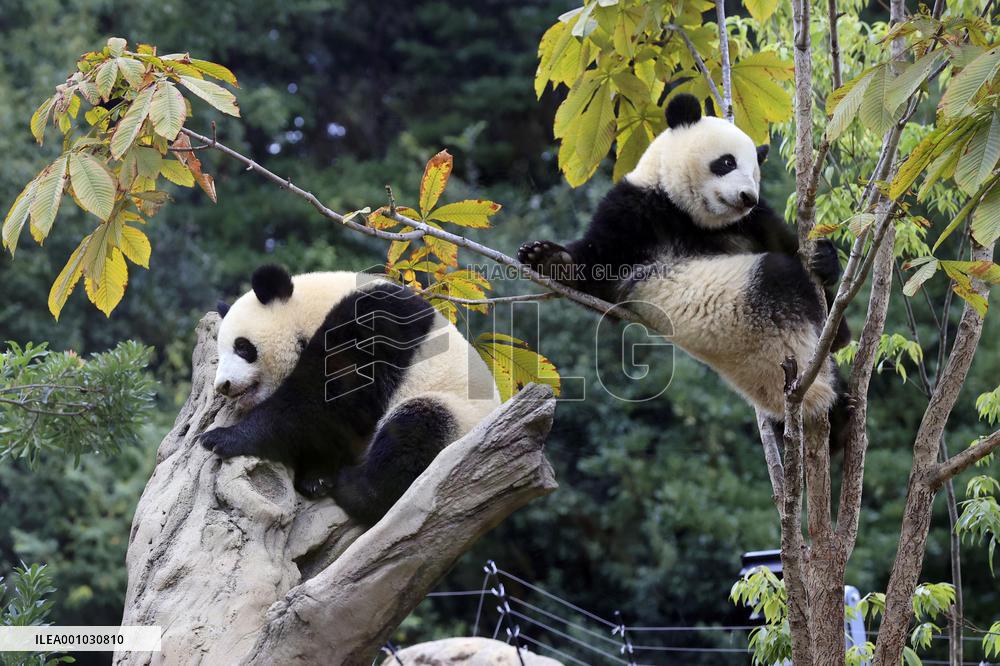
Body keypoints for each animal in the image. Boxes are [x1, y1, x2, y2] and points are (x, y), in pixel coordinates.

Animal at [200, 265, 501, 525]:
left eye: (242, 347)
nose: (223, 385)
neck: (313, 306)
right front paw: (315, 476)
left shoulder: (373, 321)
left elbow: (326, 397)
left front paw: (225, 437)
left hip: (456, 412)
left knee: (413, 433)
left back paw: (353, 488)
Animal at [518, 93, 850, 431]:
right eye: (727, 162)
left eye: (755, 173)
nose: (747, 197)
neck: (689, 215)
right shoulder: (631, 210)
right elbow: (599, 270)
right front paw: (547, 259)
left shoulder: (751, 223)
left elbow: (786, 244)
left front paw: (825, 259)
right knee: (780, 277)